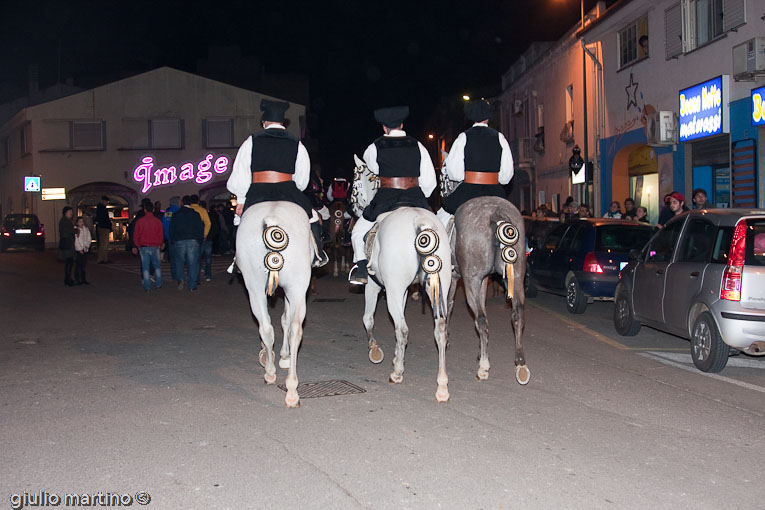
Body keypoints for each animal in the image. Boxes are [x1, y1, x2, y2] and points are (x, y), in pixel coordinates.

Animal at [236, 201, 314, 408]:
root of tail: (272, 219)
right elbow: (285, 320)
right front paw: (284, 356)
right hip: (295, 288)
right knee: (292, 328)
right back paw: (289, 386)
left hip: (256, 289)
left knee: (267, 327)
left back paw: (275, 376)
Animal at [352, 155, 454, 402]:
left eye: (354, 184)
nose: (353, 207)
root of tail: (420, 224)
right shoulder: (406, 290)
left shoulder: (375, 286)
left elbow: (368, 319)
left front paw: (375, 351)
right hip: (438, 287)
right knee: (440, 329)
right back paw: (442, 386)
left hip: (394, 290)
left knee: (402, 328)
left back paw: (397, 373)